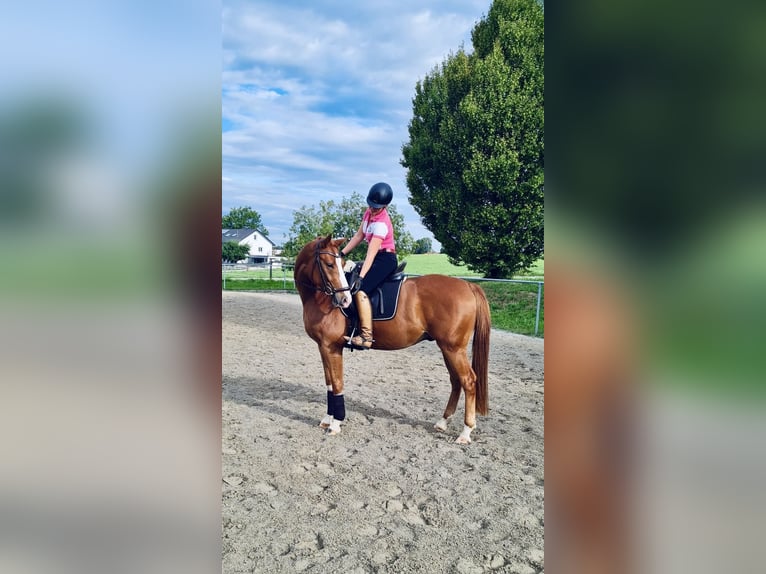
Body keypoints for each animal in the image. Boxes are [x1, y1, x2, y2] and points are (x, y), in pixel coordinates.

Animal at [293, 235, 490, 444]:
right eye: (330, 264)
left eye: (338, 264)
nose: (345, 300)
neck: (320, 298)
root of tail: (468, 285)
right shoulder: (323, 347)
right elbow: (329, 383)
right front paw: (327, 419)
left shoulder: (331, 347)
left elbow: (337, 384)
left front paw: (336, 423)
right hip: (447, 348)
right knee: (456, 381)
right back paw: (443, 422)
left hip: (454, 349)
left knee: (468, 381)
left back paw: (466, 432)